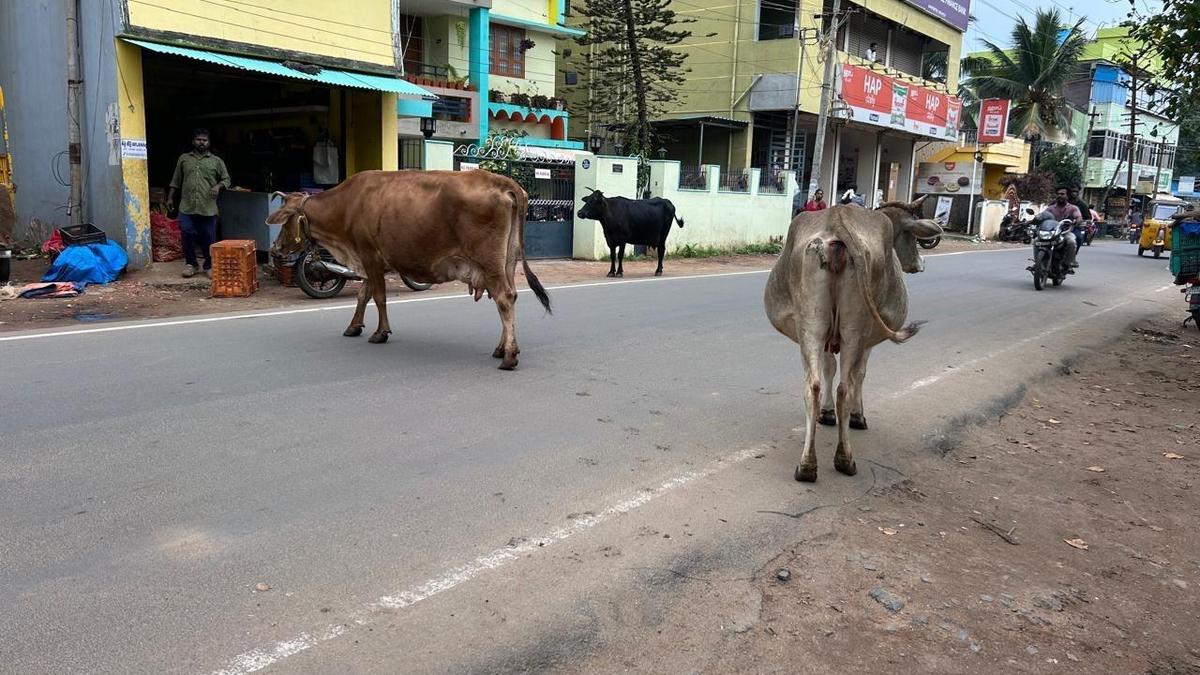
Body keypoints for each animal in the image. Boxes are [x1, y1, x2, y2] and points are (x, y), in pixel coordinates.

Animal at [267, 170, 551, 370]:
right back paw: (501, 348)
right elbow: (363, 295)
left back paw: (509, 356)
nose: (275, 249)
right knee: (511, 296)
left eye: (286, 221)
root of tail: (504, 182)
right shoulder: (372, 260)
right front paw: (354, 326)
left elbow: (378, 297)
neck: (347, 206)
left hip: (489, 262)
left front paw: (380, 332)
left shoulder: (369, 255)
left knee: (504, 298)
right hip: (508, 261)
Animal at [763, 198, 942, 482]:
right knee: (845, 387)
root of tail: (838, 222)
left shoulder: (826, 338)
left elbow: (828, 368)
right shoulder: (868, 342)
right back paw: (844, 459)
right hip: (854, 331)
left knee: (813, 385)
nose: (920, 263)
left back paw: (807, 465)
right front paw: (858, 416)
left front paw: (826, 413)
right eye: (912, 236)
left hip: (811, 326)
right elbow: (860, 374)